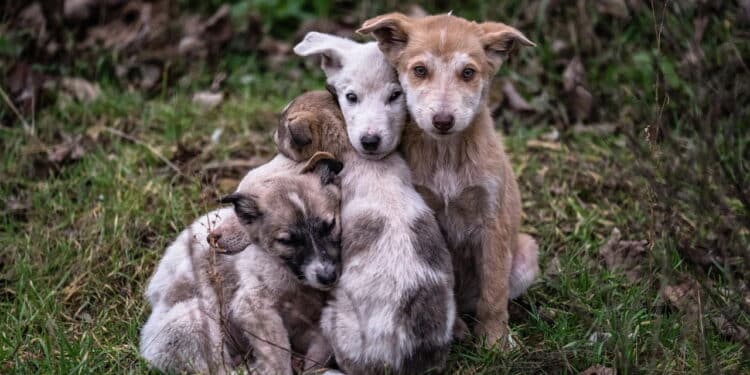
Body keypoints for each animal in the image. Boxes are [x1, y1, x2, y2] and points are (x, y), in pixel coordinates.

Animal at [140, 153, 344, 375]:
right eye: (287, 241)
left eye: (330, 226)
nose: (328, 277)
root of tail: (145, 349)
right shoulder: (252, 306)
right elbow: (278, 356)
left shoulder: (310, 324)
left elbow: (322, 346)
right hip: (195, 320)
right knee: (218, 368)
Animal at [284, 30, 456, 374]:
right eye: (350, 97)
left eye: (396, 96)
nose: (370, 141)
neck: (367, 163)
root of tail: (402, 361)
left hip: (335, 318)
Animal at [362, 12, 544, 346]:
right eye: (420, 70)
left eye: (468, 72)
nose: (443, 121)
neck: (446, 153)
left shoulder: (493, 221)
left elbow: (494, 292)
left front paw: (496, 342)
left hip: (525, 252)